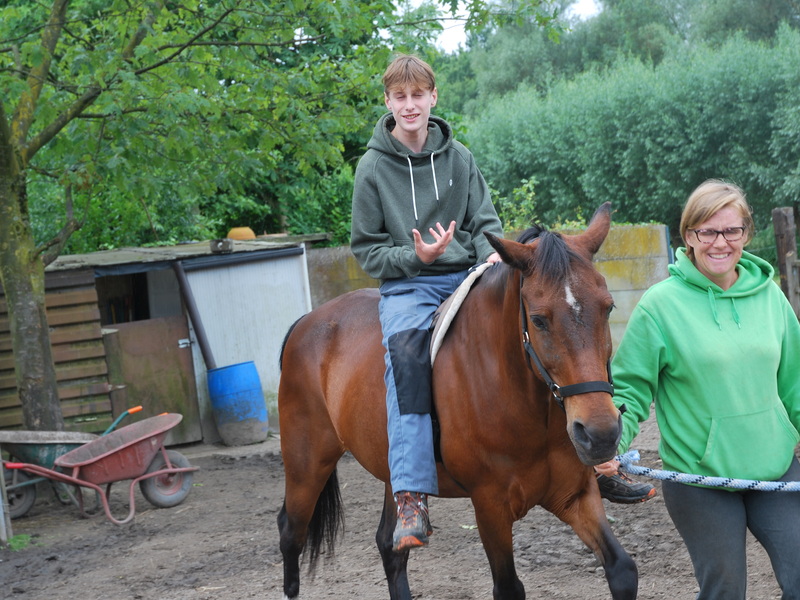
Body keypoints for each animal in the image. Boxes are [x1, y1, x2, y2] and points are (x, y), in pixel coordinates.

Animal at [276, 202, 638, 599]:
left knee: (390, 546)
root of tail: (307, 322)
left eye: (608, 307)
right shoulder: (490, 507)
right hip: (307, 465)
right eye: (539, 320)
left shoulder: (575, 494)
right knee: (290, 533)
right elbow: (509, 588)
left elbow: (623, 569)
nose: (599, 434)